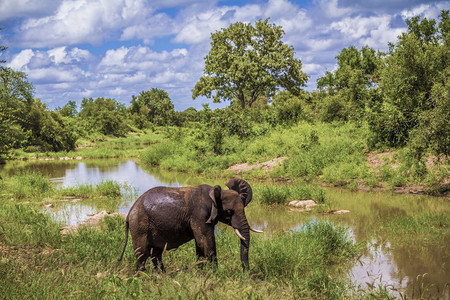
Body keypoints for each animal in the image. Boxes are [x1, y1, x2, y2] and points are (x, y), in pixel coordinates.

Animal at [118, 178, 262, 272]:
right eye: (229, 212)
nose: (246, 272)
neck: (215, 193)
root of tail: (130, 212)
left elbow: (200, 244)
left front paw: (202, 272)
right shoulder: (199, 214)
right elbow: (206, 241)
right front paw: (216, 274)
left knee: (156, 253)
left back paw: (161, 276)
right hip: (139, 225)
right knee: (142, 254)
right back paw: (142, 277)